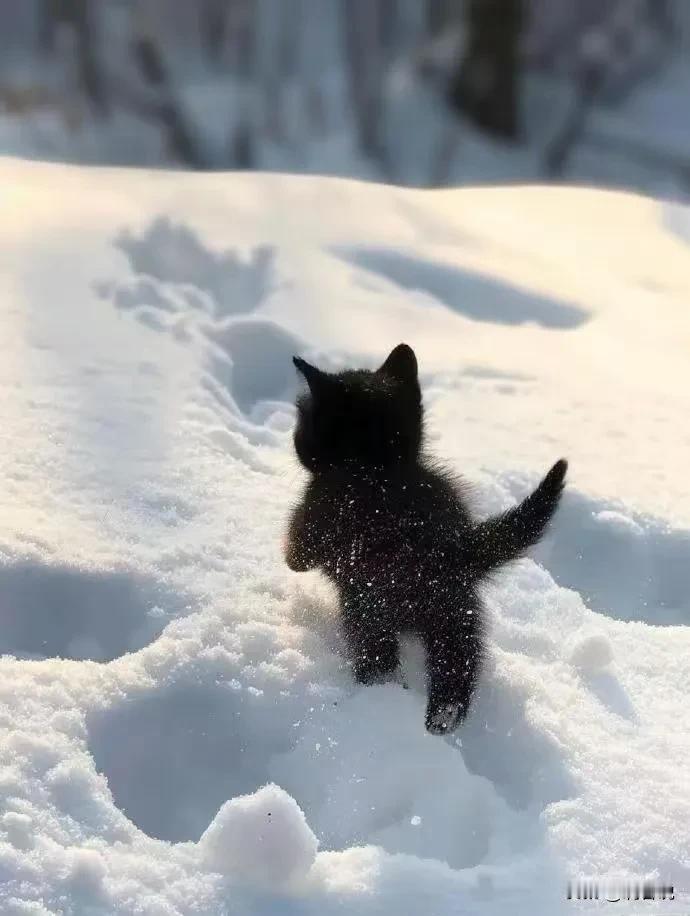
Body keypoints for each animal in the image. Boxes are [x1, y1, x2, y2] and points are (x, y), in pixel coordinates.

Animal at [284, 346, 564, 736]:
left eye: (303, 424)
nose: (294, 440)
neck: (378, 464)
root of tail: (456, 550)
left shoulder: (315, 516)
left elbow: (297, 553)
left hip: (368, 609)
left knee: (379, 659)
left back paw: (380, 703)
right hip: (457, 616)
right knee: (459, 662)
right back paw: (442, 718)